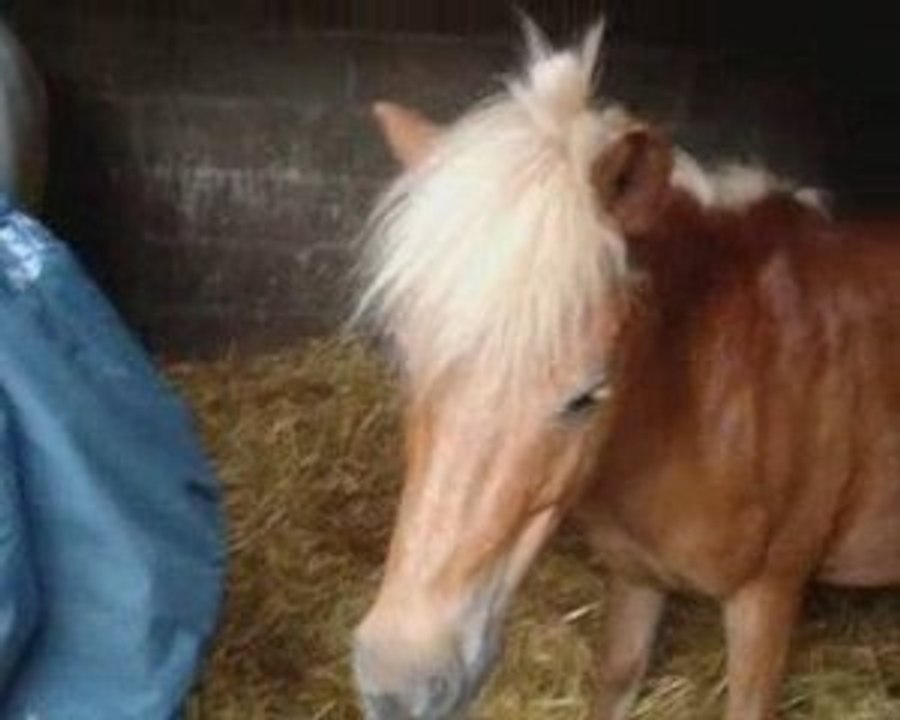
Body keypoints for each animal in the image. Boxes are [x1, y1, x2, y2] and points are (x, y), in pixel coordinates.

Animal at [352, 21, 899, 720]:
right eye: (409, 360)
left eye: (587, 395)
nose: (398, 682)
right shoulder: (636, 580)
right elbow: (616, 677)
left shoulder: (769, 596)